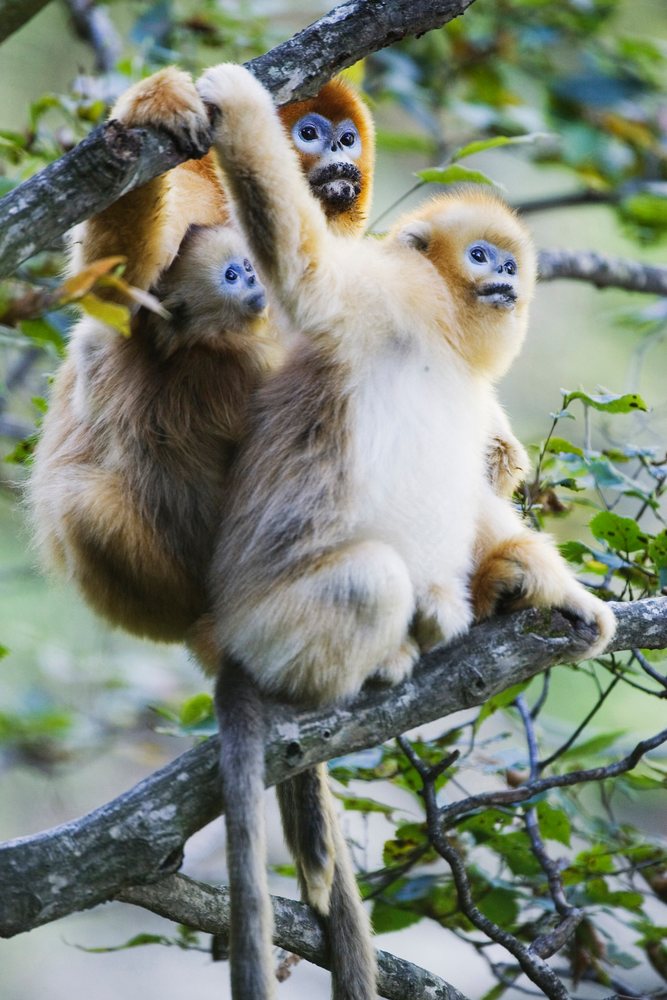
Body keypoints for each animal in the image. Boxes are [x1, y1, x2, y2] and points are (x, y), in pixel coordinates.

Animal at [195, 61, 618, 1000]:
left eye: (507, 260)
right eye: (480, 256)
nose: (504, 277)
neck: (445, 330)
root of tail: (225, 639)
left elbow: (481, 479)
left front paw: (556, 588)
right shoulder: (392, 294)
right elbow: (309, 276)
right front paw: (238, 104)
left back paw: (499, 588)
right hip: (271, 624)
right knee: (370, 580)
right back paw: (385, 651)